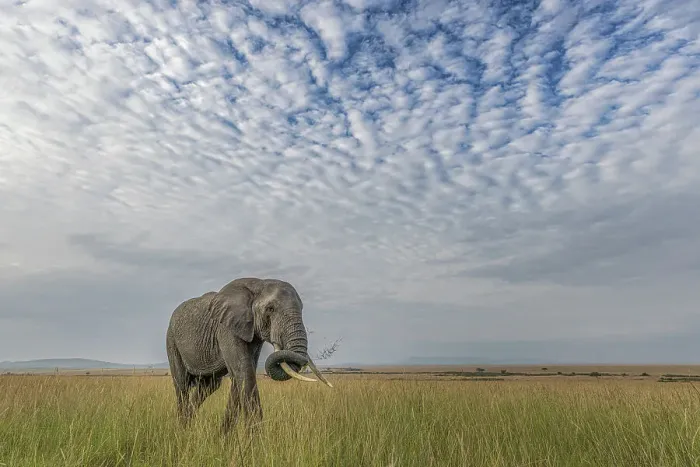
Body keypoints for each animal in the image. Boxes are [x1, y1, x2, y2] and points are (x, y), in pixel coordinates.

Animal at [165, 277, 333, 432]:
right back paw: (182, 431)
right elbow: (244, 372)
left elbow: (241, 375)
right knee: (182, 384)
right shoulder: (226, 329)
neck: (259, 283)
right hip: (172, 340)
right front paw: (255, 442)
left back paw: (189, 425)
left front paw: (224, 438)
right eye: (270, 309)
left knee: (209, 386)